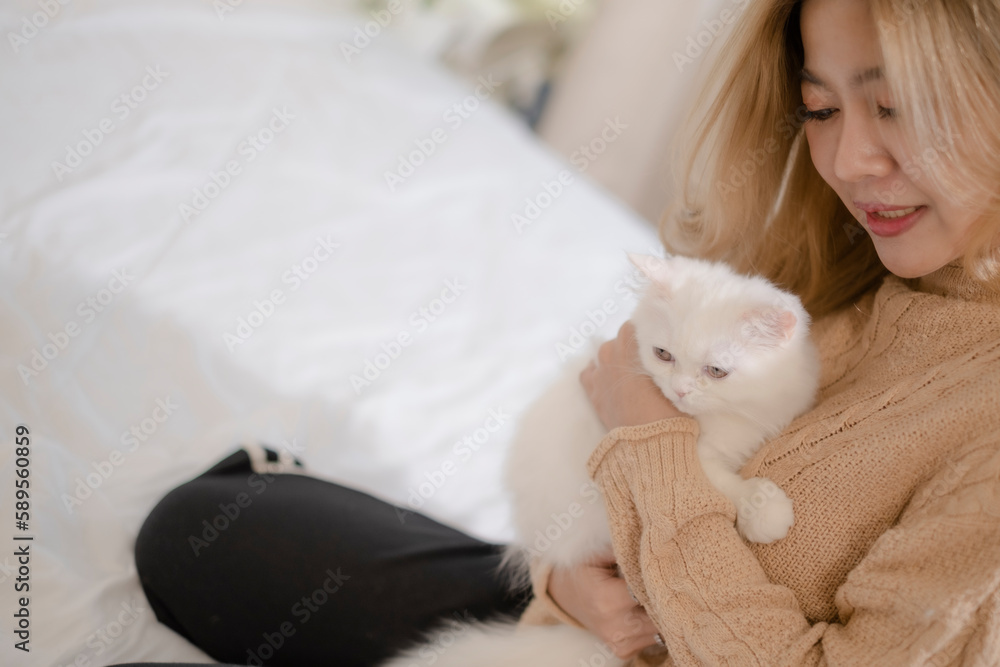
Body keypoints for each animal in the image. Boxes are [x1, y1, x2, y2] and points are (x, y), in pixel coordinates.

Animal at [382, 253, 820, 664]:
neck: (731, 415)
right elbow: (729, 486)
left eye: (716, 371)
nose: (679, 391)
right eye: (663, 354)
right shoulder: (698, 458)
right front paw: (765, 511)